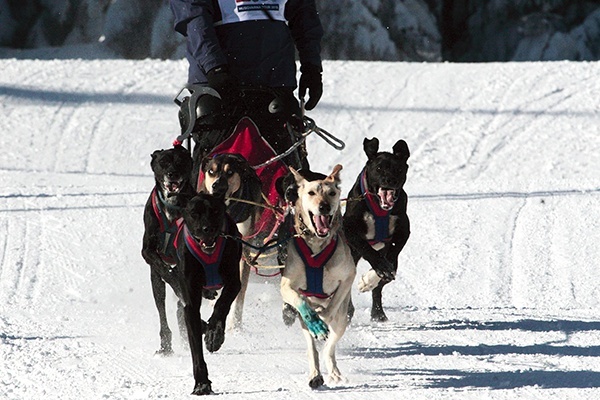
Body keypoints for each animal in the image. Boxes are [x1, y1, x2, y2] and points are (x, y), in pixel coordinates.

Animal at [142, 145, 195, 354]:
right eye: (163, 162)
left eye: (180, 162)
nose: (172, 174)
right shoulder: (148, 252)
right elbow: (165, 272)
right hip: (155, 282)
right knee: (162, 306)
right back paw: (166, 345)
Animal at [177, 192, 243, 396]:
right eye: (194, 213)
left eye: (214, 211)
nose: (207, 229)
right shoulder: (190, 301)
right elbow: (195, 347)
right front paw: (201, 383)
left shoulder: (234, 282)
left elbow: (221, 306)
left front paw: (214, 335)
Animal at [278, 164, 354, 390]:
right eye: (311, 193)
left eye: (332, 193)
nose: (324, 207)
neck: (316, 246)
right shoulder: (286, 285)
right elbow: (299, 299)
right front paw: (315, 320)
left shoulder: (348, 277)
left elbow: (330, 311)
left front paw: (321, 319)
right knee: (312, 348)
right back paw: (315, 373)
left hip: (342, 319)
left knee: (329, 348)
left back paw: (334, 371)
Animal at [344, 138, 410, 322]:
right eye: (379, 168)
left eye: (398, 169)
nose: (390, 180)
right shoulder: (349, 228)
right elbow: (367, 248)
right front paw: (379, 268)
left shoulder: (403, 230)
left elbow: (390, 261)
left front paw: (370, 279)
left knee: (381, 285)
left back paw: (378, 313)